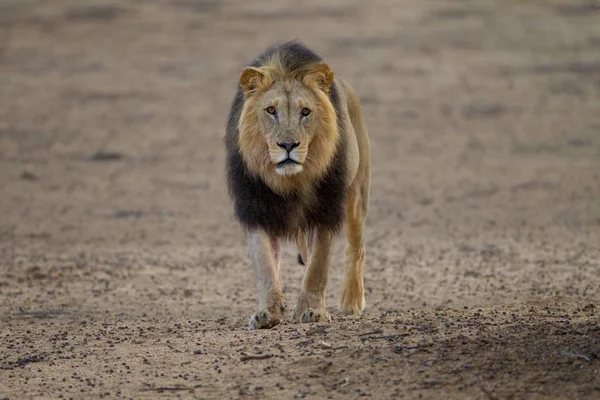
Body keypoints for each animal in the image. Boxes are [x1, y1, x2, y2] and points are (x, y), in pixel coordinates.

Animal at [224, 40, 370, 330]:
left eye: (305, 112)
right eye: (271, 110)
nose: (288, 145)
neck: (291, 180)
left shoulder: (326, 207)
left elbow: (318, 266)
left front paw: (312, 310)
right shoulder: (256, 207)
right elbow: (265, 265)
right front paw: (267, 313)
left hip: (356, 195)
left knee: (356, 248)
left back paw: (351, 300)